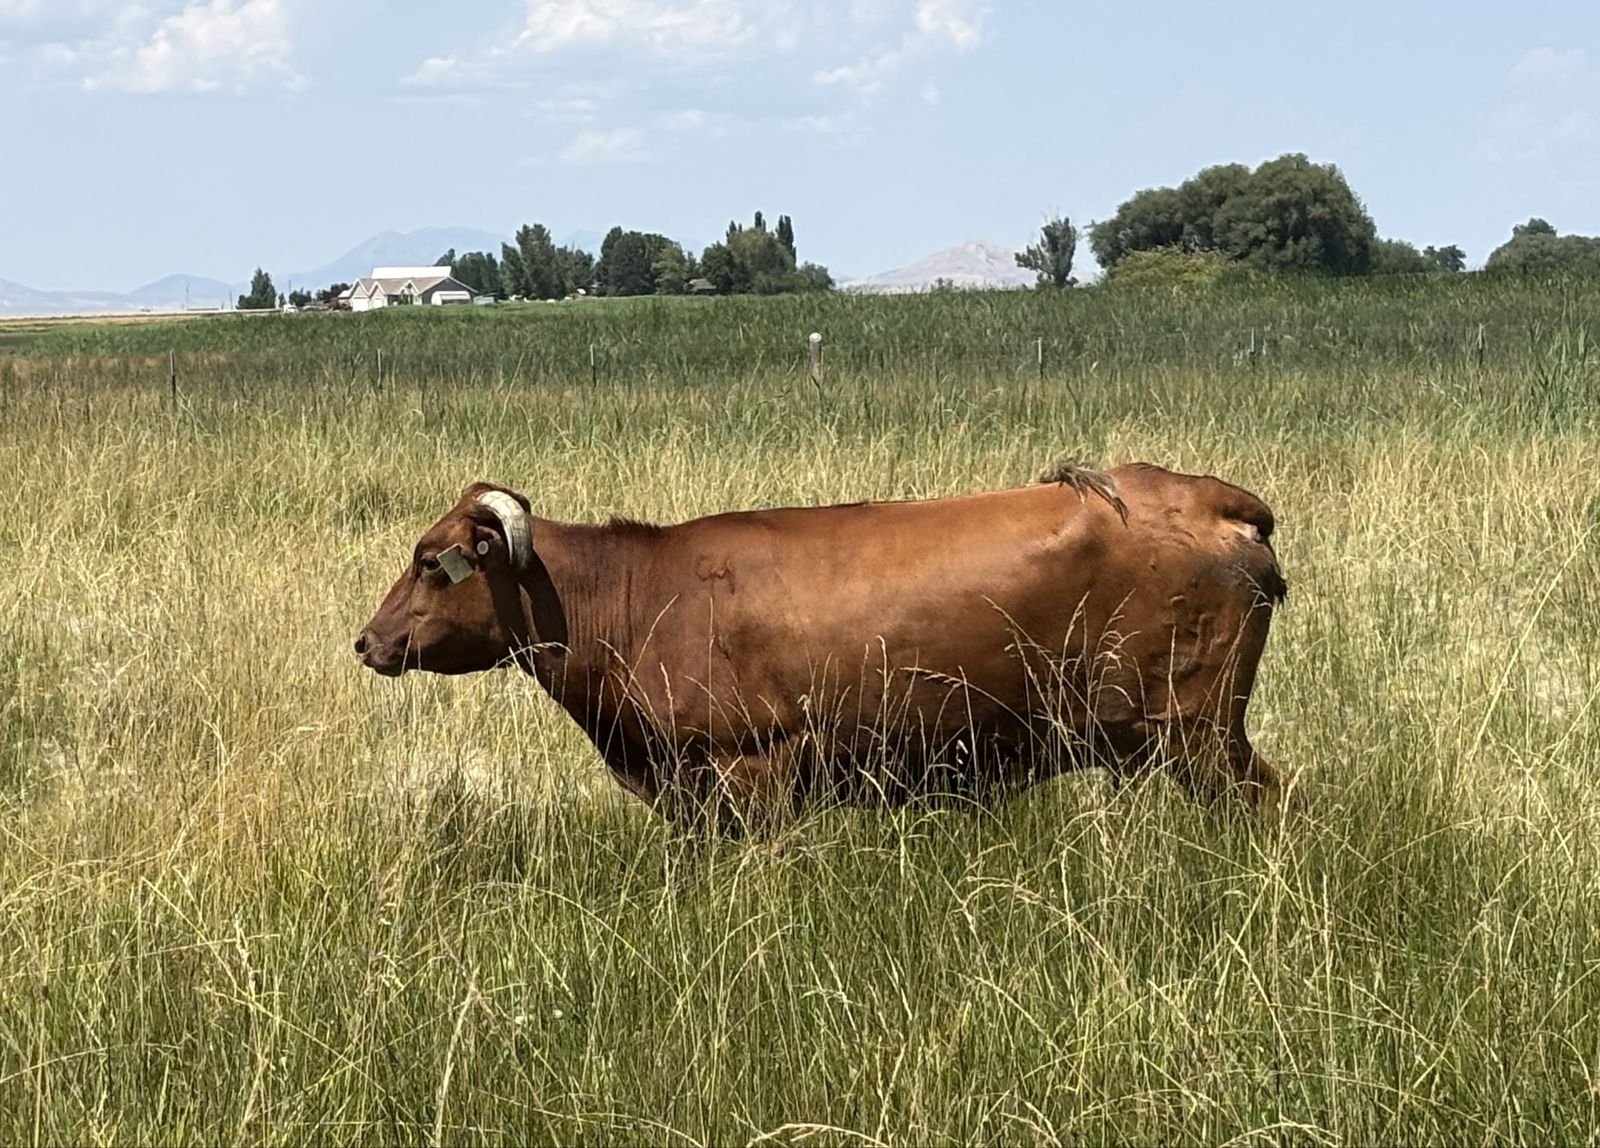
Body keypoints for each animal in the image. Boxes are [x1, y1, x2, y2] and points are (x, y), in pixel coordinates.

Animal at [355, 461, 1288, 828]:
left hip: (1201, 732)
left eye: (430, 562)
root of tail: (1208, 496)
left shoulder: (755, 770)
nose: (366, 641)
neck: (638, 594)